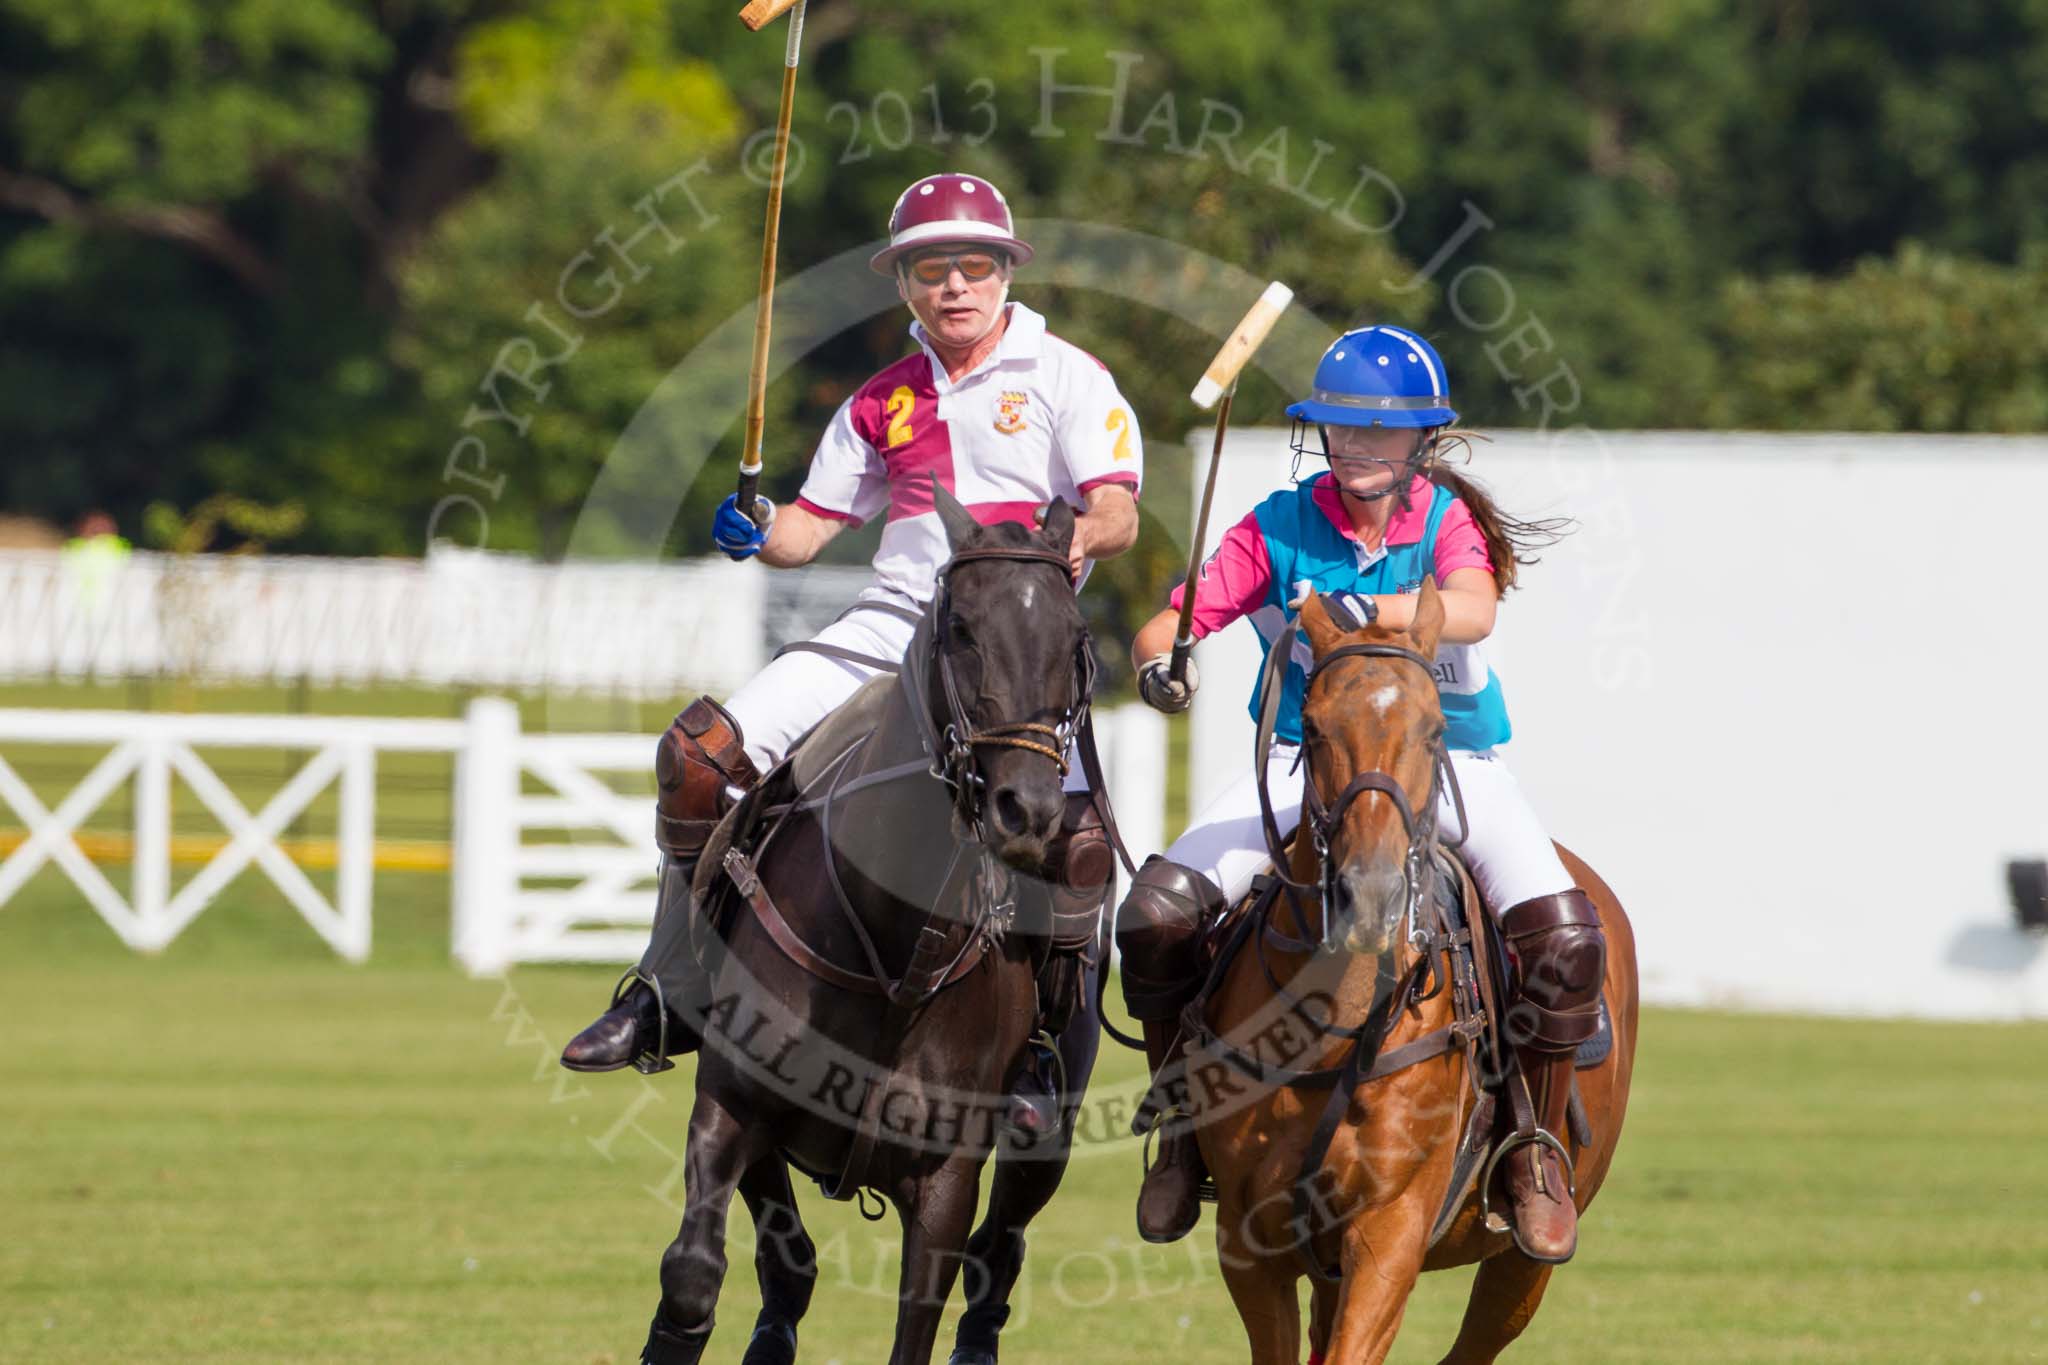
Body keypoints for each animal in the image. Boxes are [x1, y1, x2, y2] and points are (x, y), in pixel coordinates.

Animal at [647, 493, 1114, 1365]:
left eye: (1076, 639)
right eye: (960, 625)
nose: (1027, 810)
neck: (893, 942)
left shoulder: (946, 1176)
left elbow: (918, 1318)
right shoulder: (733, 1097)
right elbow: (700, 1272)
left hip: (1051, 1128)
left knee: (1002, 1249)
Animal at [1187, 585, 1630, 1365]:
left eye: (1433, 729)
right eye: (1310, 726)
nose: (1370, 894)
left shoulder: (1388, 1231)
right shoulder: (1248, 1240)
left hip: (1528, 1255)